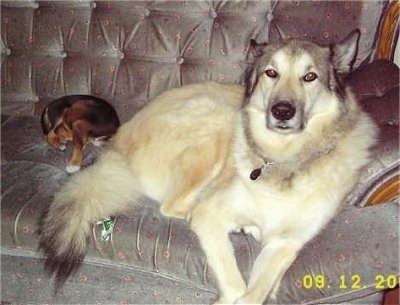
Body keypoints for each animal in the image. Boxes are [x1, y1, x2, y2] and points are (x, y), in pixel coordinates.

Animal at [39, 29, 376, 304]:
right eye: (271, 73)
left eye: (310, 77)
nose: (282, 111)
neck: (283, 159)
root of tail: (120, 141)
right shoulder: (213, 214)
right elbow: (237, 286)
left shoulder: (285, 244)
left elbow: (257, 292)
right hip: (214, 124)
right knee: (173, 205)